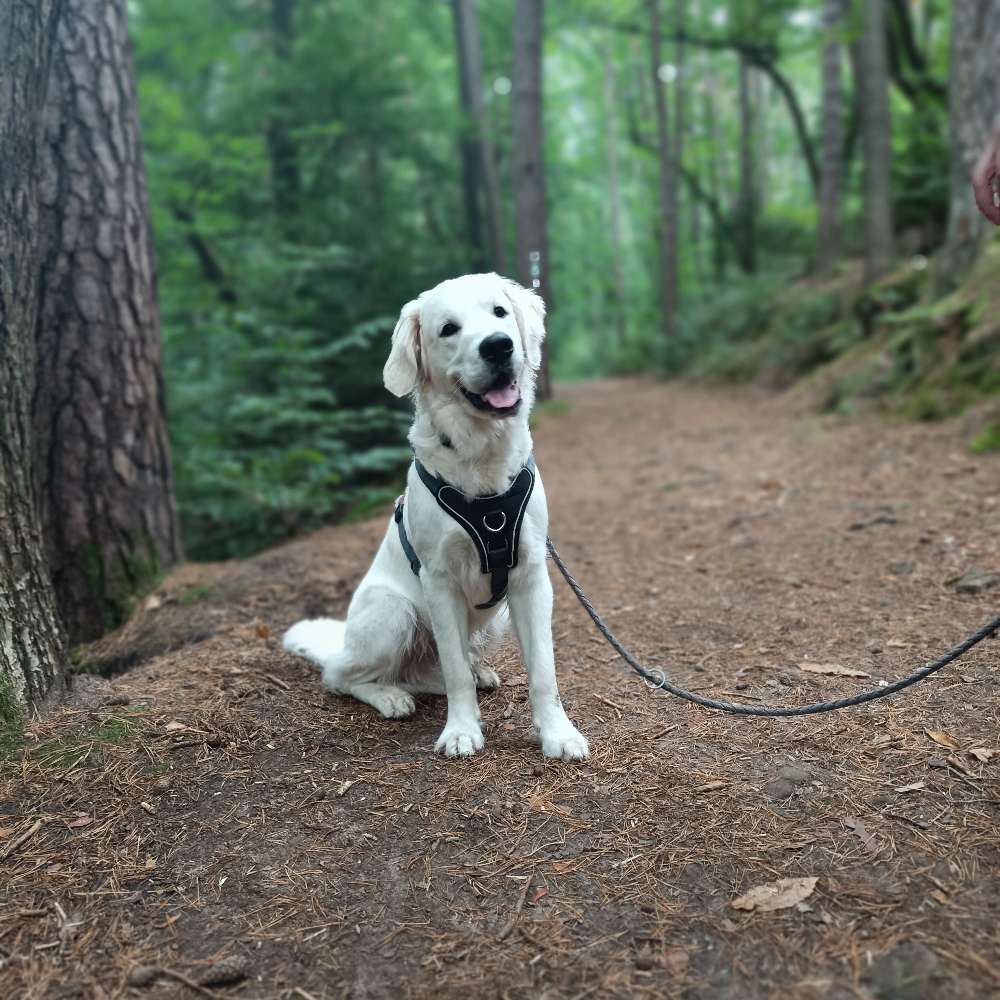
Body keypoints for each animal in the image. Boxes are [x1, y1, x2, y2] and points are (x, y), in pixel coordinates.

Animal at [282, 274, 588, 756]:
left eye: (499, 312)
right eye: (448, 329)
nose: (498, 346)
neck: (481, 456)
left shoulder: (531, 576)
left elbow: (543, 669)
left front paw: (558, 733)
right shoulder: (439, 580)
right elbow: (455, 670)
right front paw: (461, 731)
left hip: (492, 618)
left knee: (431, 671)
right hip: (394, 612)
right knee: (342, 675)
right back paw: (389, 696)